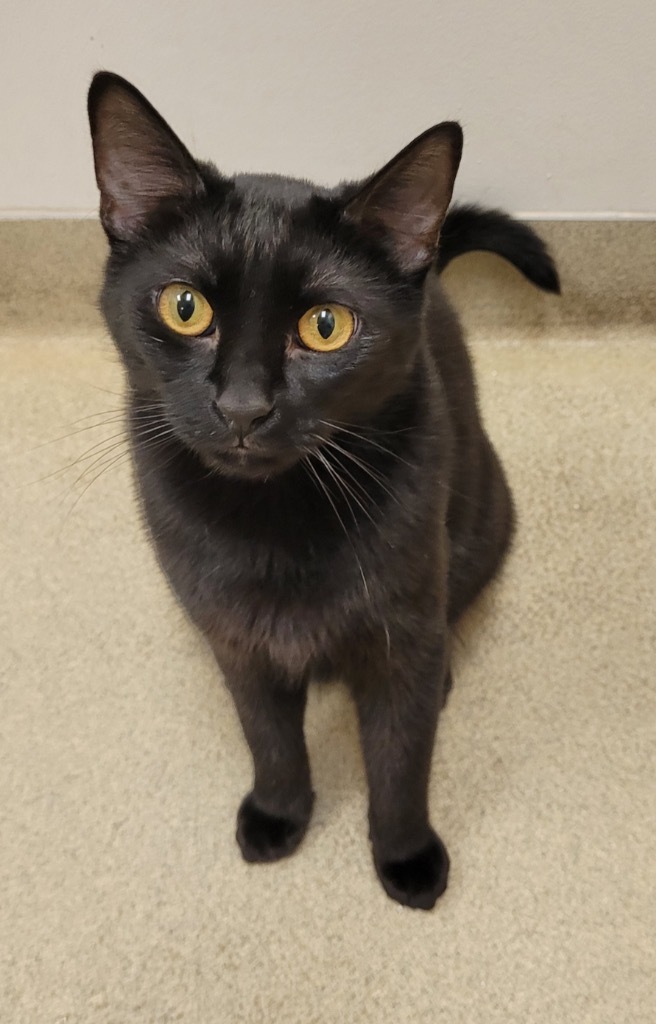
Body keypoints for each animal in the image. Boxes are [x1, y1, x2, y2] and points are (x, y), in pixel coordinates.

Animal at [88, 74, 556, 913]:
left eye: (327, 326)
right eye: (185, 307)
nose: (243, 406)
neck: (274, 522)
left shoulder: (400, 631)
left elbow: (402, 759)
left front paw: (405, 857)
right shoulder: (236, 637)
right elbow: (270, 738)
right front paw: (280, 814)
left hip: (479, 528)